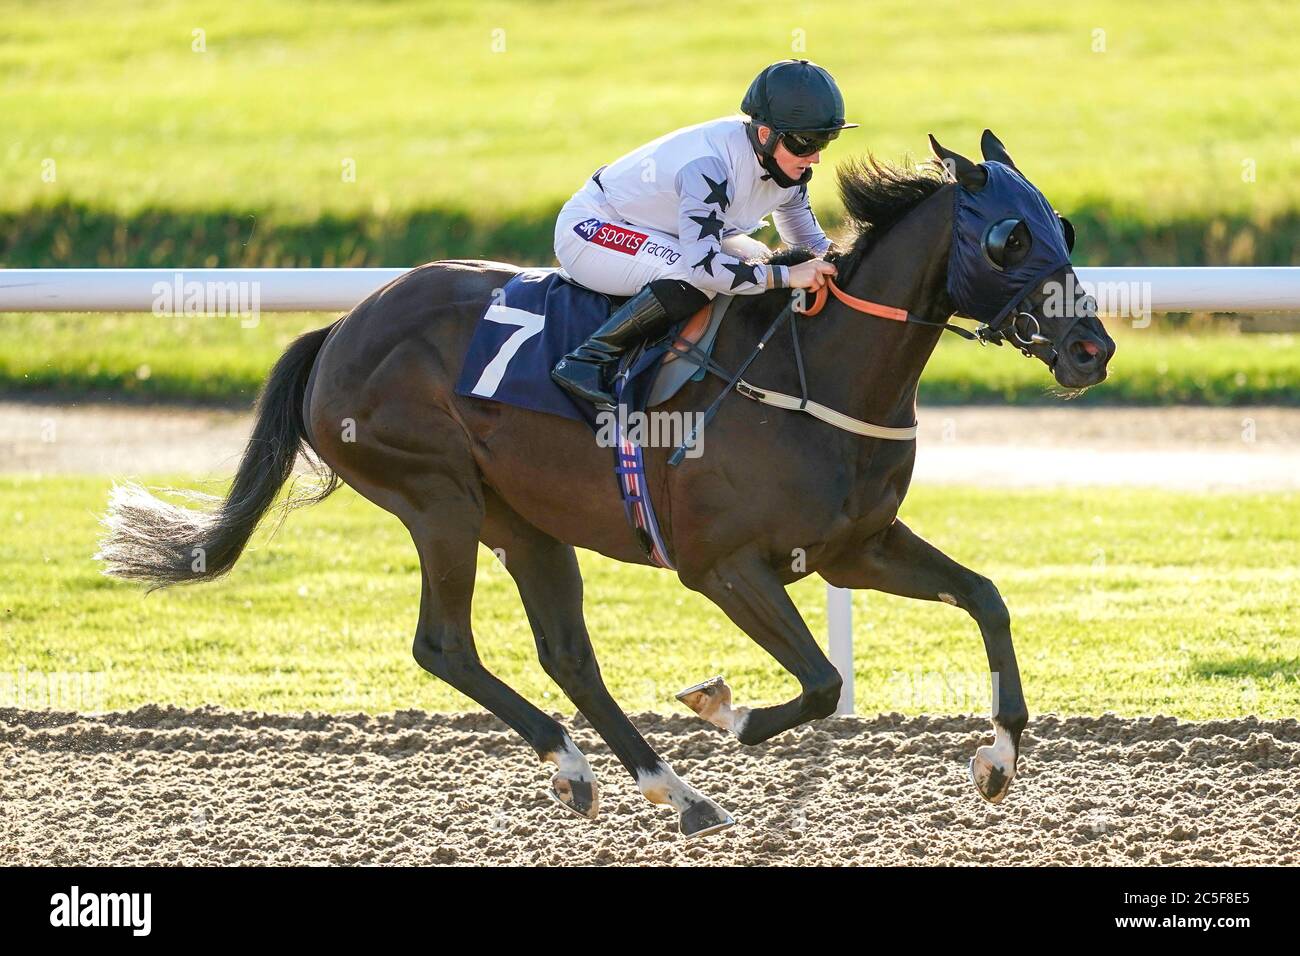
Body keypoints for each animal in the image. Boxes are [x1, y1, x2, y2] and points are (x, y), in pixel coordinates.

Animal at [98, 132, 1118, 837]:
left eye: (1059, 226)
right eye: (1009, 238)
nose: (1091, 349)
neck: (816, 371)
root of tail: (341, 328)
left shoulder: (853, 548)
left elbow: (985, 600)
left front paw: (996, 758)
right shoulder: (723, 567)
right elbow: (823, 682)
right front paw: (727, 710)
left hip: (525, 522)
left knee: (566, 655)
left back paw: (670, 789)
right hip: (439, 500)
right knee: (445, 646)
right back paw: (584, 767)